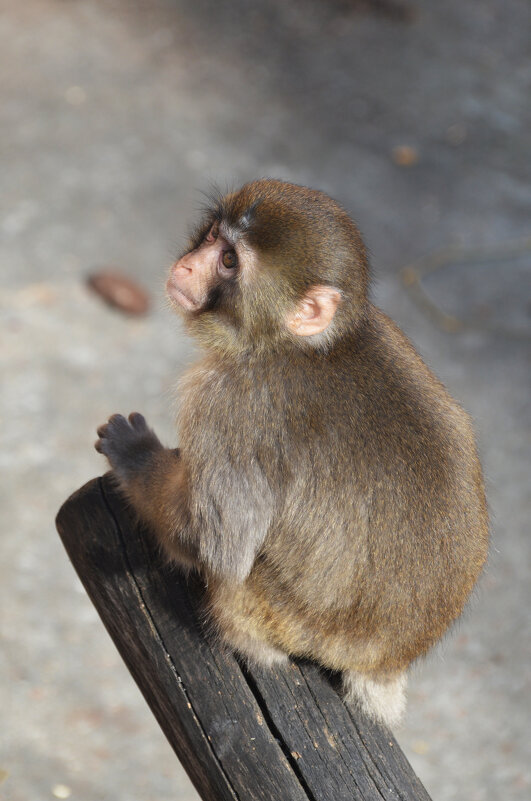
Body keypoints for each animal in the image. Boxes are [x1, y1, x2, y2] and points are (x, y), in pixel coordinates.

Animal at [96, 178, 490, 728]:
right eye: (213, 235)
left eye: (230, 261)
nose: (188, 266)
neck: (286, 344)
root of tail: (389, 659)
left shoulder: (224, 406)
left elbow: (214, 547)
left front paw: (135, 456)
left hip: (285, 617)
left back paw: (250, 648)